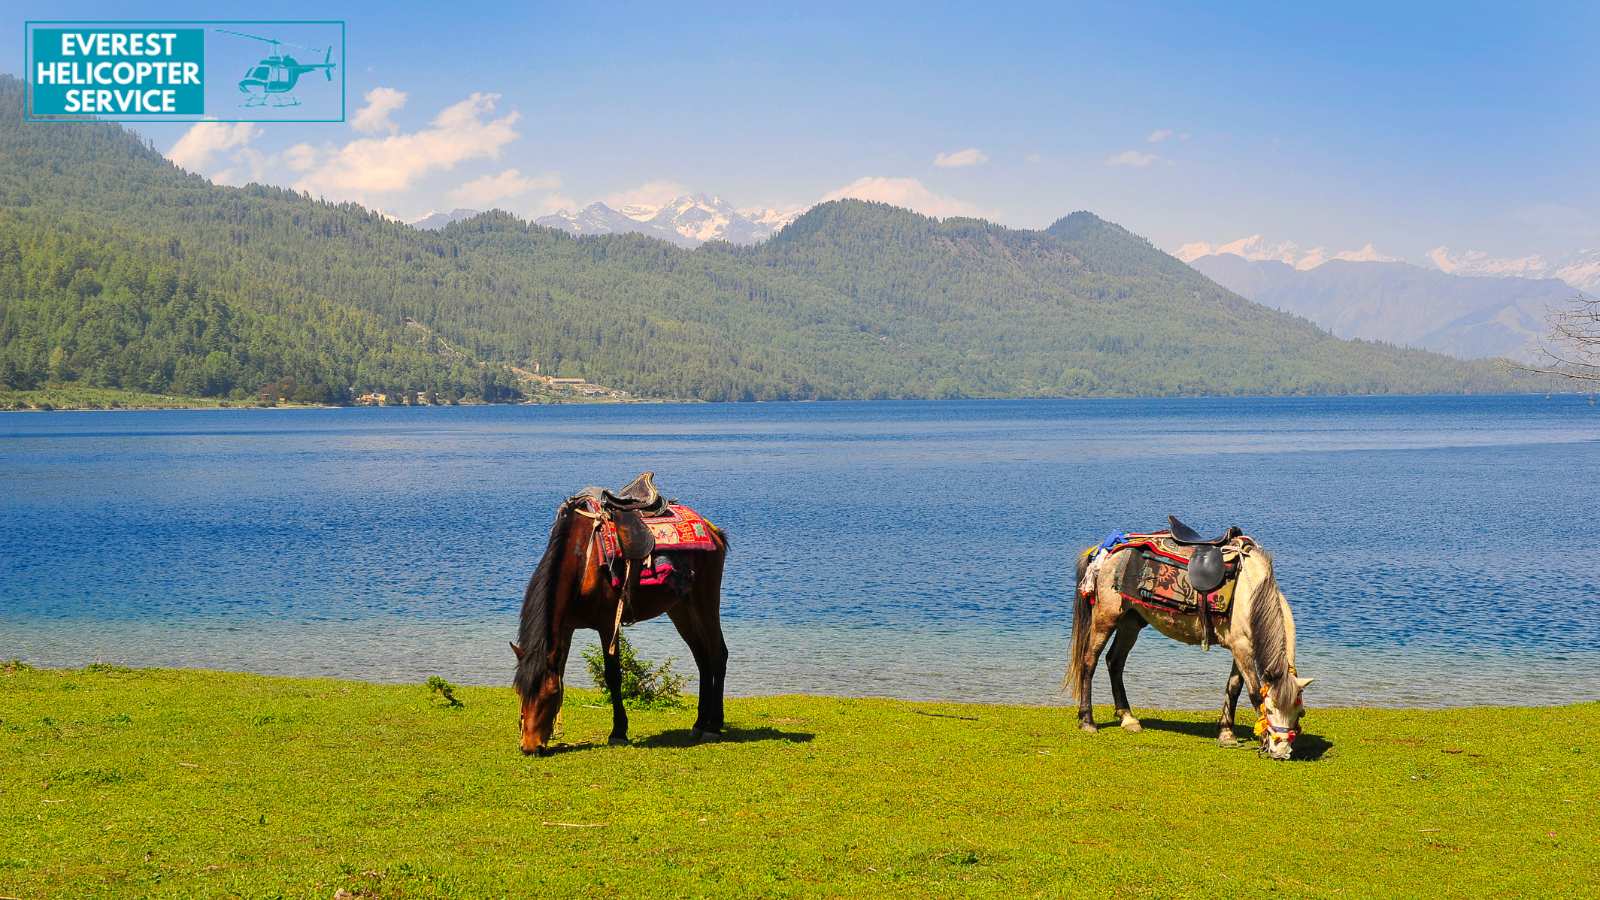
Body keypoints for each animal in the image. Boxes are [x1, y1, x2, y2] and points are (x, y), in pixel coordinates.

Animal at [511, 474, 729, 755]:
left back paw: (714, 725)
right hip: (680, 608)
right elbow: (562, 669)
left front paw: (618, 732)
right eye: (520, 692)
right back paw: (700, 723)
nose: (529, 746)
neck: (582, 561)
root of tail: (713, 531)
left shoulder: (607, 624)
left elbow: (613, 676)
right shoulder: (567, 627)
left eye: (547, 695)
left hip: (706, 600)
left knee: (718, 654)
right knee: (702, 658)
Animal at [1064, 524, 1314, 759]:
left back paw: (1128, 718)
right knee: (1089, 661)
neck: (1252, 594)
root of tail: (1106, 550)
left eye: (1300, 713)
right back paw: (1087, 721)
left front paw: (1226, 734)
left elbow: (1233, 687)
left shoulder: (1240, 647)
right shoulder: (1242, 648)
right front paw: (1260, 738)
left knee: (1115, 662)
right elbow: (1253, 692)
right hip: (1106, 617)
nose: (1281, 752)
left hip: (1131, 621)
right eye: (1269, 710)